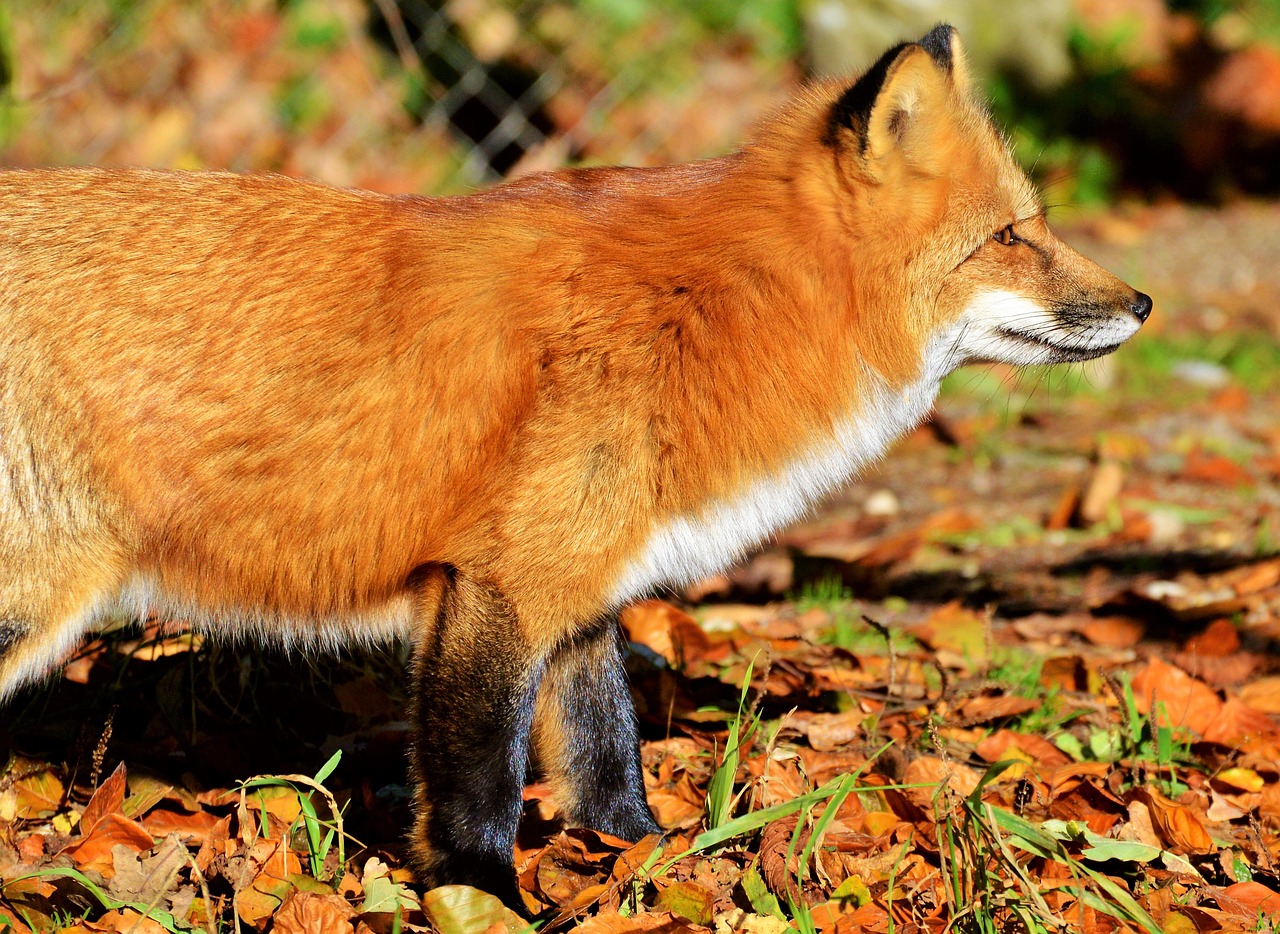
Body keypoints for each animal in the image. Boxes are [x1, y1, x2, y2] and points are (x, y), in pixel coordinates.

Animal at [0, 23, 1146, 910]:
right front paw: (483, 896)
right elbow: (480, 783)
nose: (1140, 303)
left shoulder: (580, 587)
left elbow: (605, 759)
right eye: (1009, 236)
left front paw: (642, 865)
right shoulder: (497, 587)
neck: (718, 310)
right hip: (30, 601)